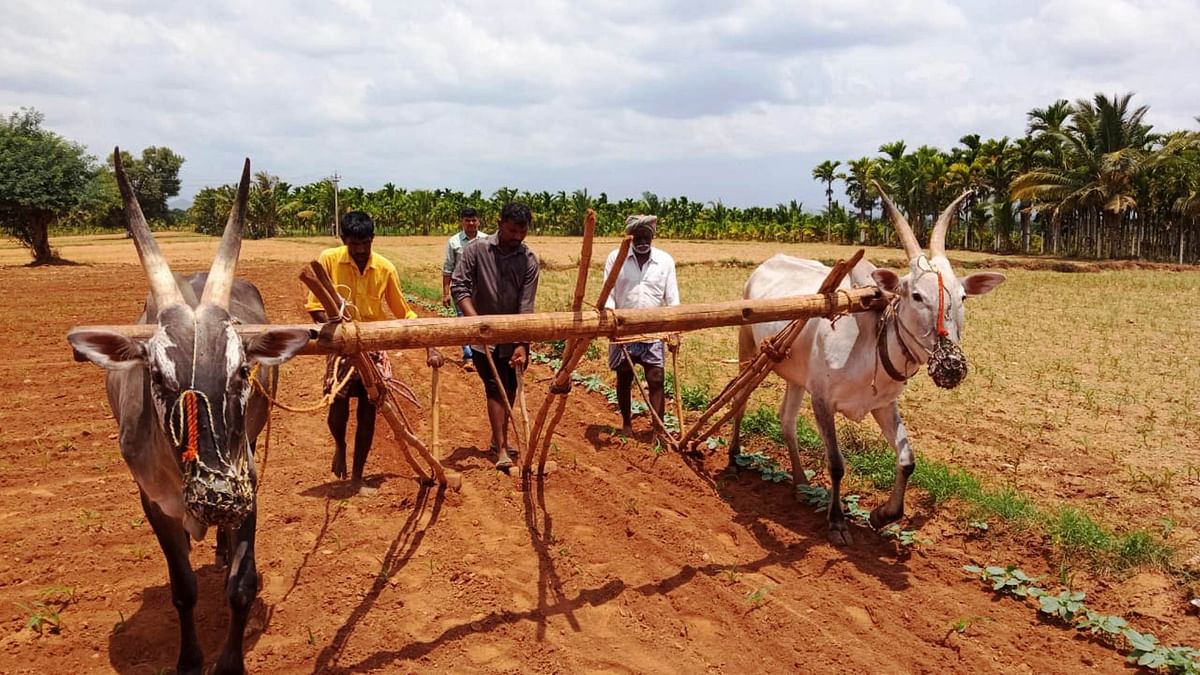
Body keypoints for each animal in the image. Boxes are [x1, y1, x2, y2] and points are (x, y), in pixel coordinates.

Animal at [66, 149, 312, 667]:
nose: (218, 496)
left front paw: (230, 662)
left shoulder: (250, 481)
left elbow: (241, 586)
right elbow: (183, 589)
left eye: (242, 372)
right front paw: (190, 659)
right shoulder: (153, 502)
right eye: (158, 378)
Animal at [729, 181, 1003, 542]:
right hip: (748, 348)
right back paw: (733, 458)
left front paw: (882, 515)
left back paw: (800, 482)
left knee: (786, 419)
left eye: (962, 297)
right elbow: (836, 464)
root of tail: (770, 261)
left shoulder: (884, 404)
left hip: (796, 376)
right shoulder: (822, 400)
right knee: (740, 401)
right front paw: (836, 521)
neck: (871, 340)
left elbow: (907, 460)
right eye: (916, 295)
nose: (951, 365)